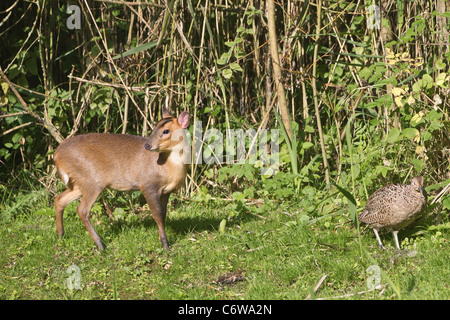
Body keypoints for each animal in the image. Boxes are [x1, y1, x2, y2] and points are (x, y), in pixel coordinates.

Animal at [53, 106, 189, 251]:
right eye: (154, 128)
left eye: (166, 130)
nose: (148, 145)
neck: (168, 168)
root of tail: (56, 154)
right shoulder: (148, 185)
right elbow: (157, 215)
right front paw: (165, 245)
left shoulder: (166, 191)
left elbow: (163, 214)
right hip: (92, 180)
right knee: (82, 210)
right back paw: (100, 245)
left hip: (79, 183)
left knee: (59, 199)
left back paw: (60, 235)